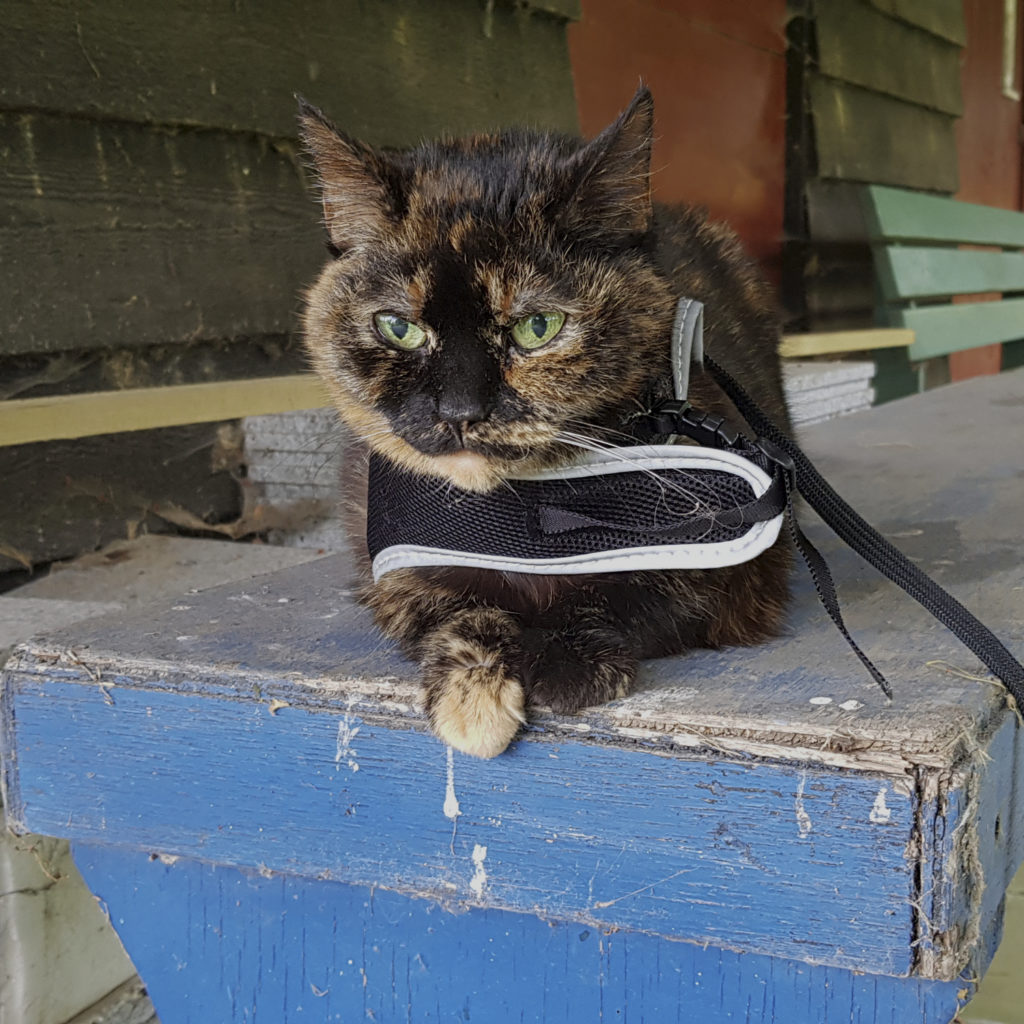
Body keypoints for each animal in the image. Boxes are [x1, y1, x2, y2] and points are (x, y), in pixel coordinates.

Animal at [299, 88, 790, 757]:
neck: (522, 519)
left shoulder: (744, 572)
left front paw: (567, 660)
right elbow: (452, 604)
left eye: (539, 327)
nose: (460, 411)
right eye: (397, 327)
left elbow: (637, 587)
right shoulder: (381, 568)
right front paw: (473, 697)